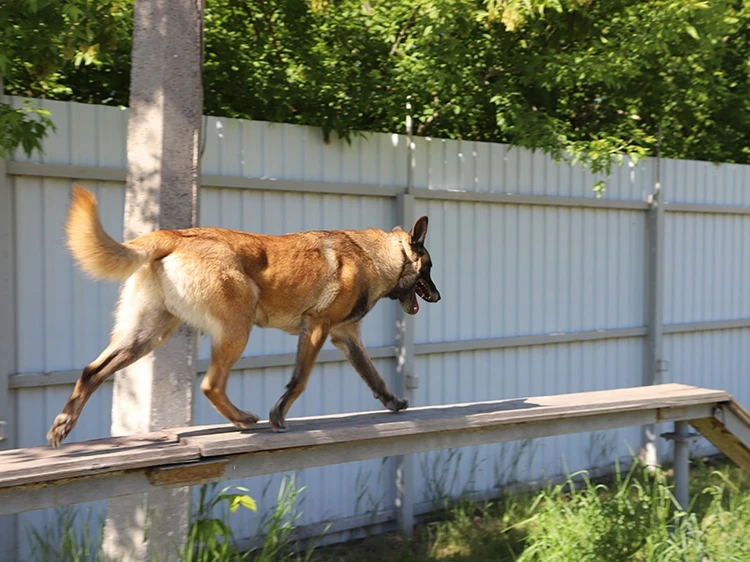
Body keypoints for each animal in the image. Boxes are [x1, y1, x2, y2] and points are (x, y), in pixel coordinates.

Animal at [47, 185, 444, 446]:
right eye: (428, 268)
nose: (439, 297)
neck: (377, 255)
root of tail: (174, 235)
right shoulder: (316, 329)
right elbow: (299, 380)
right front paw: (278, 416)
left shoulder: (345, 337)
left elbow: (374, 377)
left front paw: (394, 403)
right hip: (237, 329)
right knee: (210, 384)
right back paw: (242, 419)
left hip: (145, 336)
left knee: (92, 371)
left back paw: (62, 426)